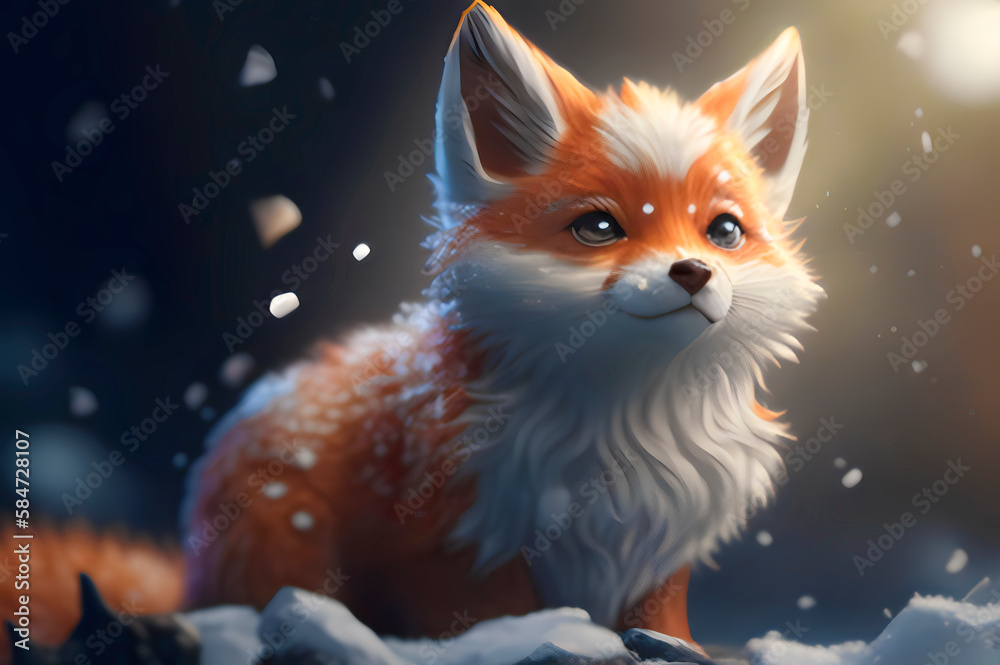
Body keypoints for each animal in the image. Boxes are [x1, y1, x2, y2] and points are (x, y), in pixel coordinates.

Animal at [3, 1, 824, 659]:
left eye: (724, 231)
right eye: (599, 227)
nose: (694, 272)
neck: (619, 428)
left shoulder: (661, 540)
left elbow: (661, 620)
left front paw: (680, 648)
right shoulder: (445, 539)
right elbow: (492, 619)